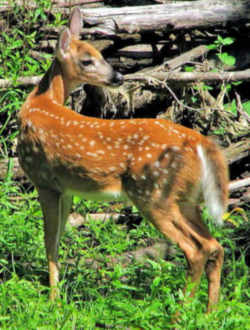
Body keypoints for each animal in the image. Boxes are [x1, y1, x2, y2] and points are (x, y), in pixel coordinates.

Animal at [18, 7, 229, 312]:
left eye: (101, 54)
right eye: (88, 59)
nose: (118, 77)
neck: (40, 104)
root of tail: (198, 141)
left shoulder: (43, 180)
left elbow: (48, 240)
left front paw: (53, 300)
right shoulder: (66, 188)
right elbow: (58, 238)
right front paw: (58, 296)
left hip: (153, 194)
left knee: (196, 249)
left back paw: (180, 315)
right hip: (186, 199)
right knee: (215, 245)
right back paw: (209, 312)